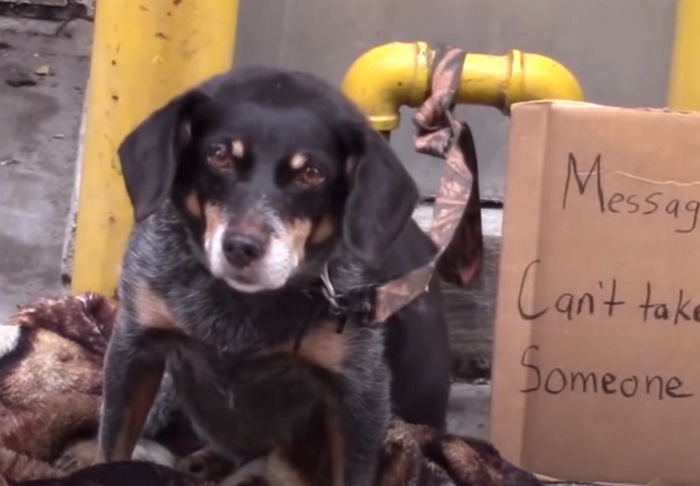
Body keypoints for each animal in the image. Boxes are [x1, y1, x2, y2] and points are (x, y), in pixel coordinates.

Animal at [97, 65, 448, 486]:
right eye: (219, 155)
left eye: (312, 173)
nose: (242, 247)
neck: (238, 310)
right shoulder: (135, 348)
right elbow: (113, 447)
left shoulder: (360, 394)